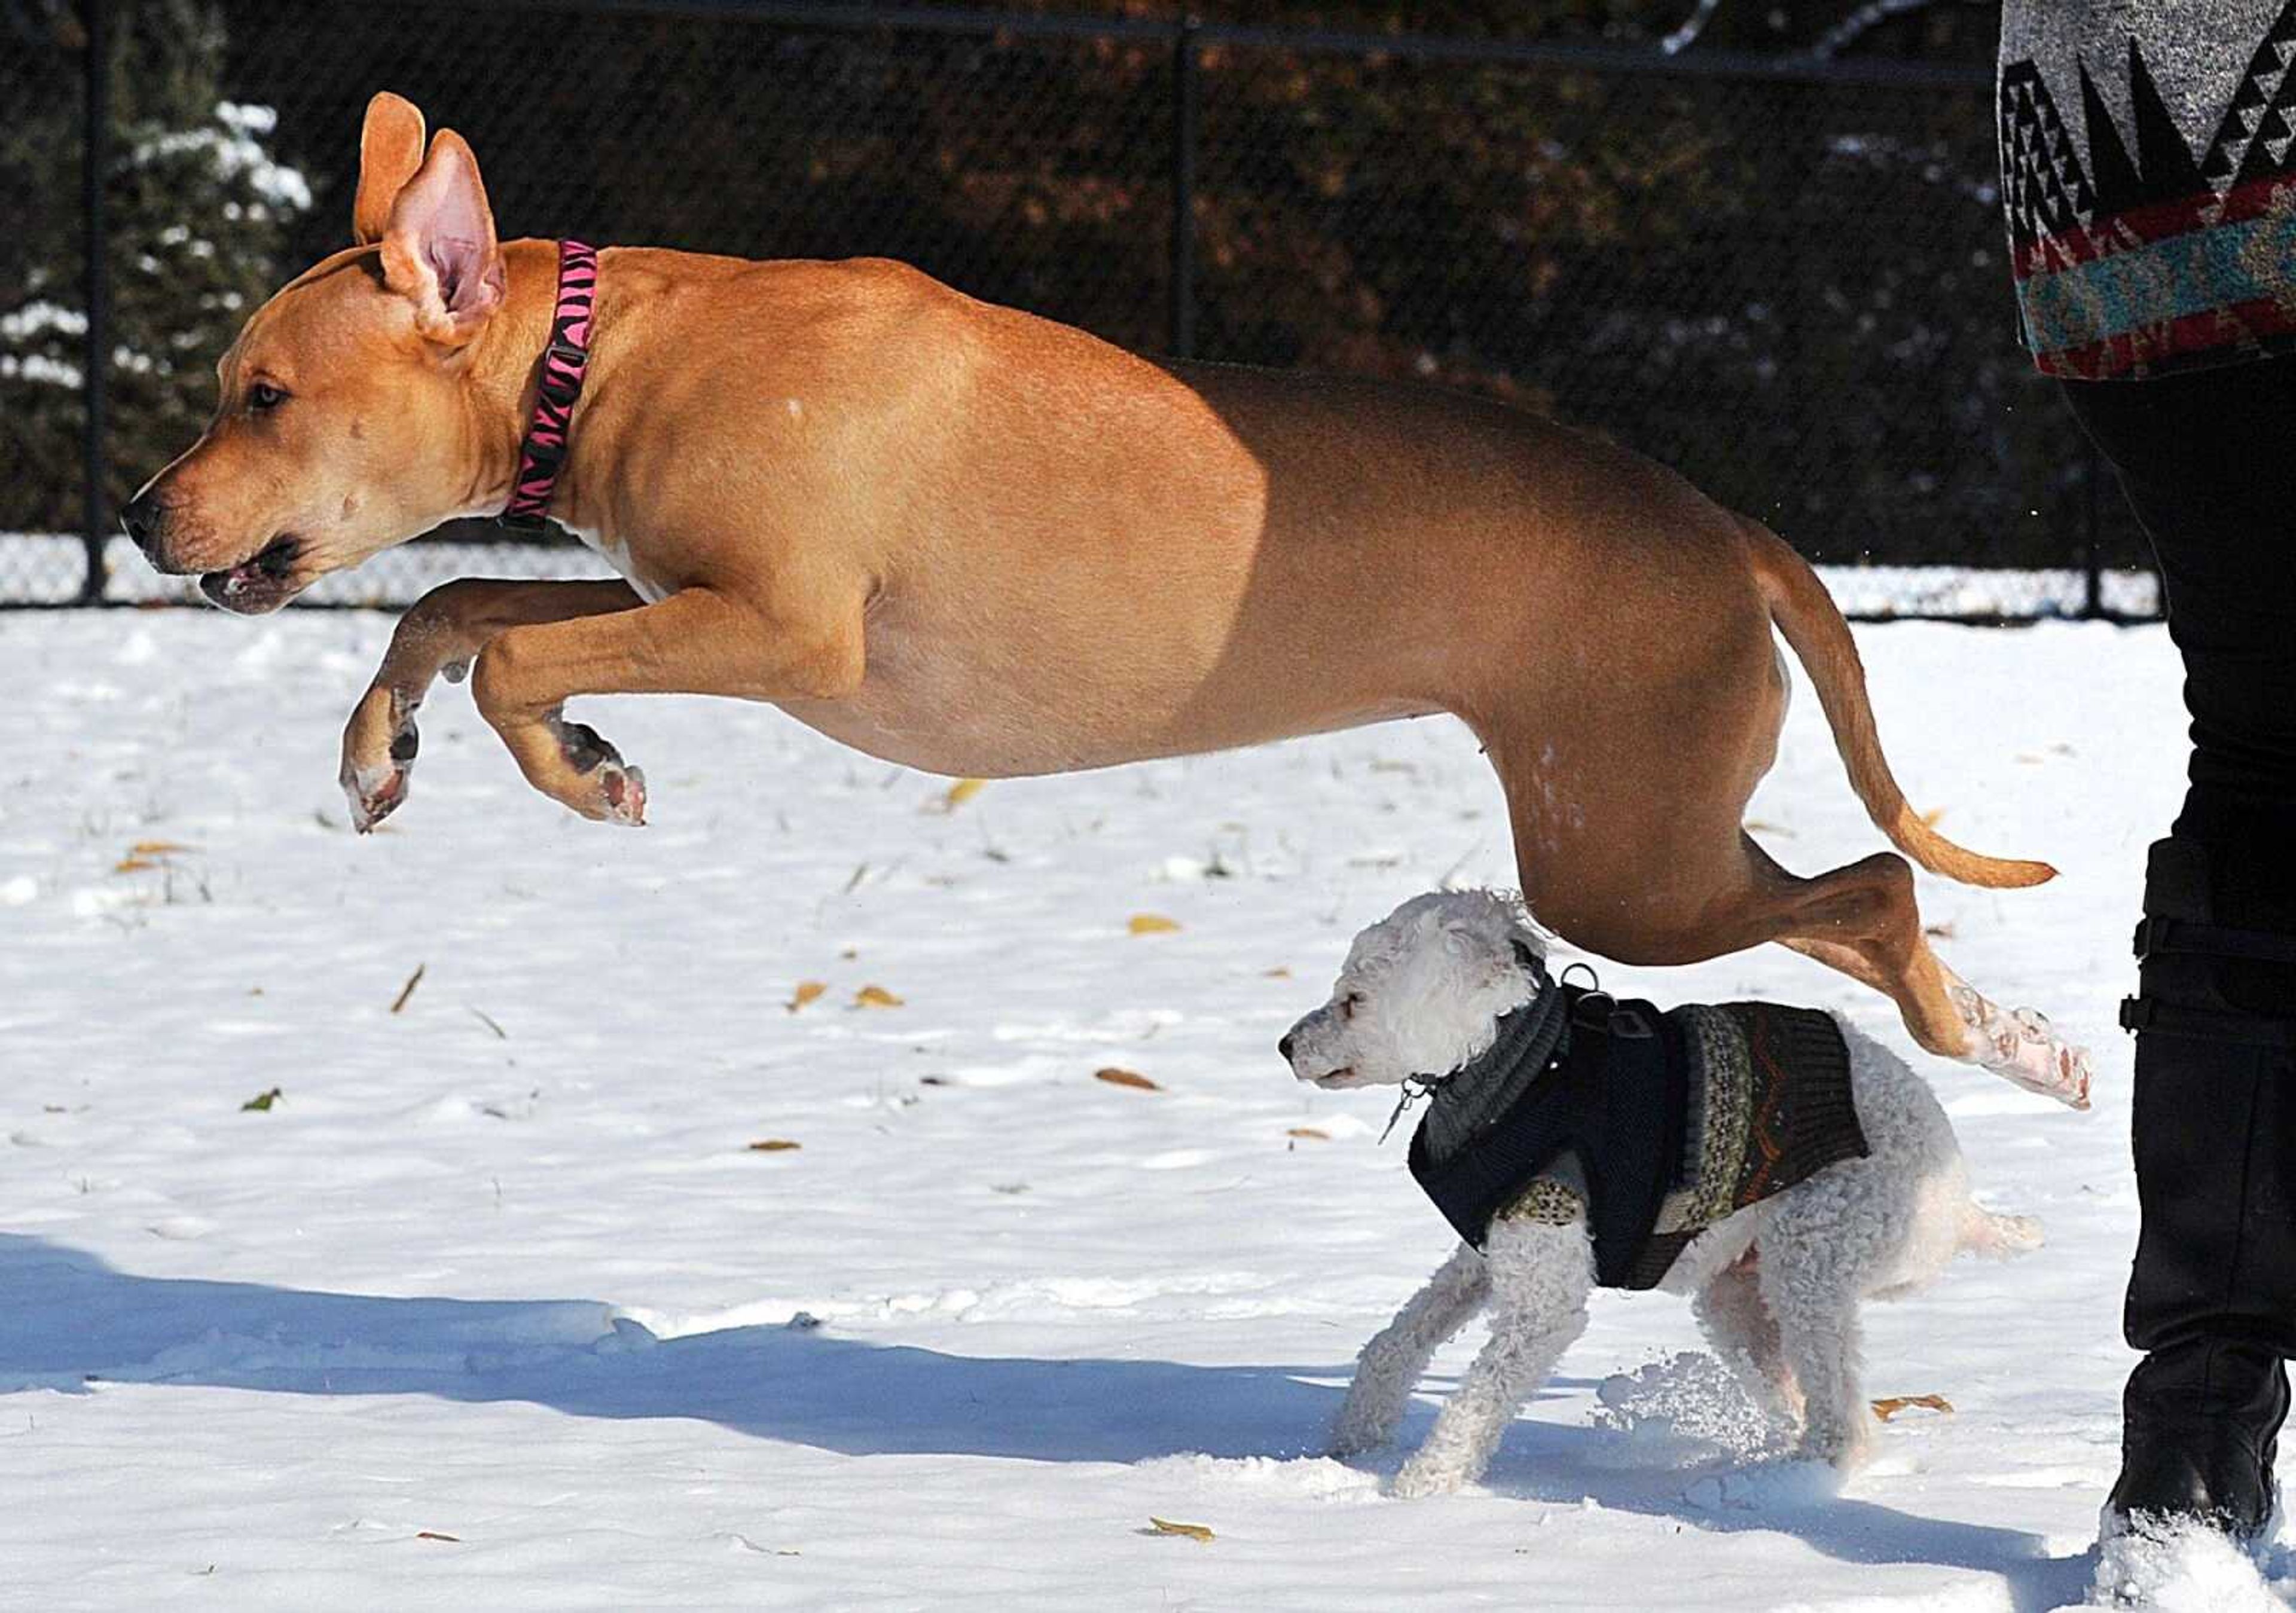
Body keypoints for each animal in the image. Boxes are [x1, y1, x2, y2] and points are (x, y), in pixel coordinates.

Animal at [1294, 890, 2048, 1496]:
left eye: (1353, 1002)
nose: (1284, 1045)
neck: (1520, 1068)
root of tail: (1959, 1207)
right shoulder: (1486, 1253)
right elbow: (1395, 1341)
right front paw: (1354, 1439)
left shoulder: (1545, 1294)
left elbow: (1477, 1399)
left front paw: (1419, 1489)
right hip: (1738, 1296)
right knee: (1802, 1394)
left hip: (1816, 1255)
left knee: (1844, 1422)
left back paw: (1790, 1486)